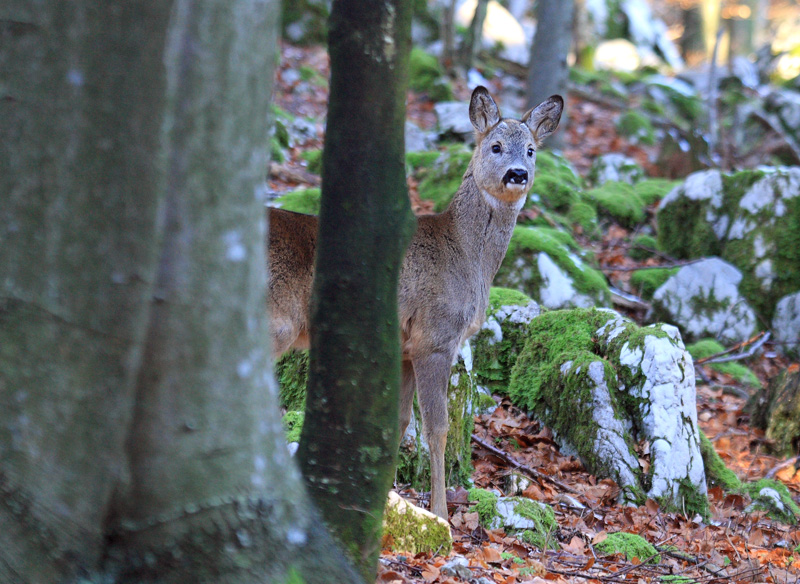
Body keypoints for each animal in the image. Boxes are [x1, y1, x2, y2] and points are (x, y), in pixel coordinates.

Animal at [268, 85, 564, 516]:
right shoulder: (435, 338)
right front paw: (440, 511)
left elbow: (401, 422)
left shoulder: (406, 348)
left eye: (530, 150)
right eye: (494, 146)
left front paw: (389, 499)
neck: (466, 255)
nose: (517, 174)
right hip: (276, 321)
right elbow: (437, 428)